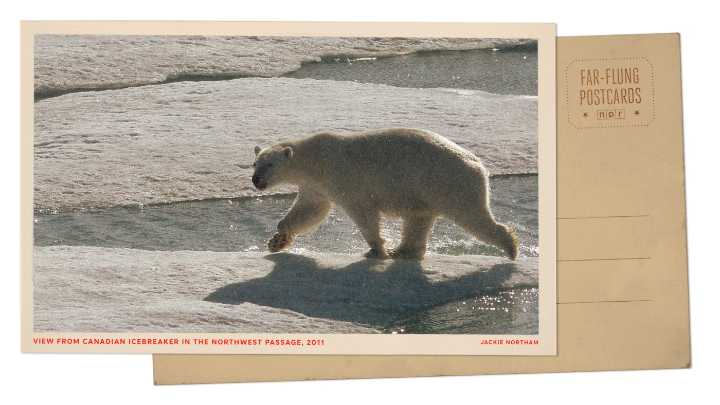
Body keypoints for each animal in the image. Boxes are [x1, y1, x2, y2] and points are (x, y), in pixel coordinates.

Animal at [251, 128, 518, 260]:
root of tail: (479, 165)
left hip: (449, 183)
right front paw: (278, 240)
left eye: (269, 165)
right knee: (418, 220)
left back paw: (511, 247)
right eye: (255, 164)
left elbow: (363, 213)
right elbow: (310, 210)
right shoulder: (316, 186)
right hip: (425, 192)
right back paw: (404, 251)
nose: (255, 181)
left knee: (473, 217)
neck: (316, 159)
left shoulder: (343, 178)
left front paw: (376, 250)